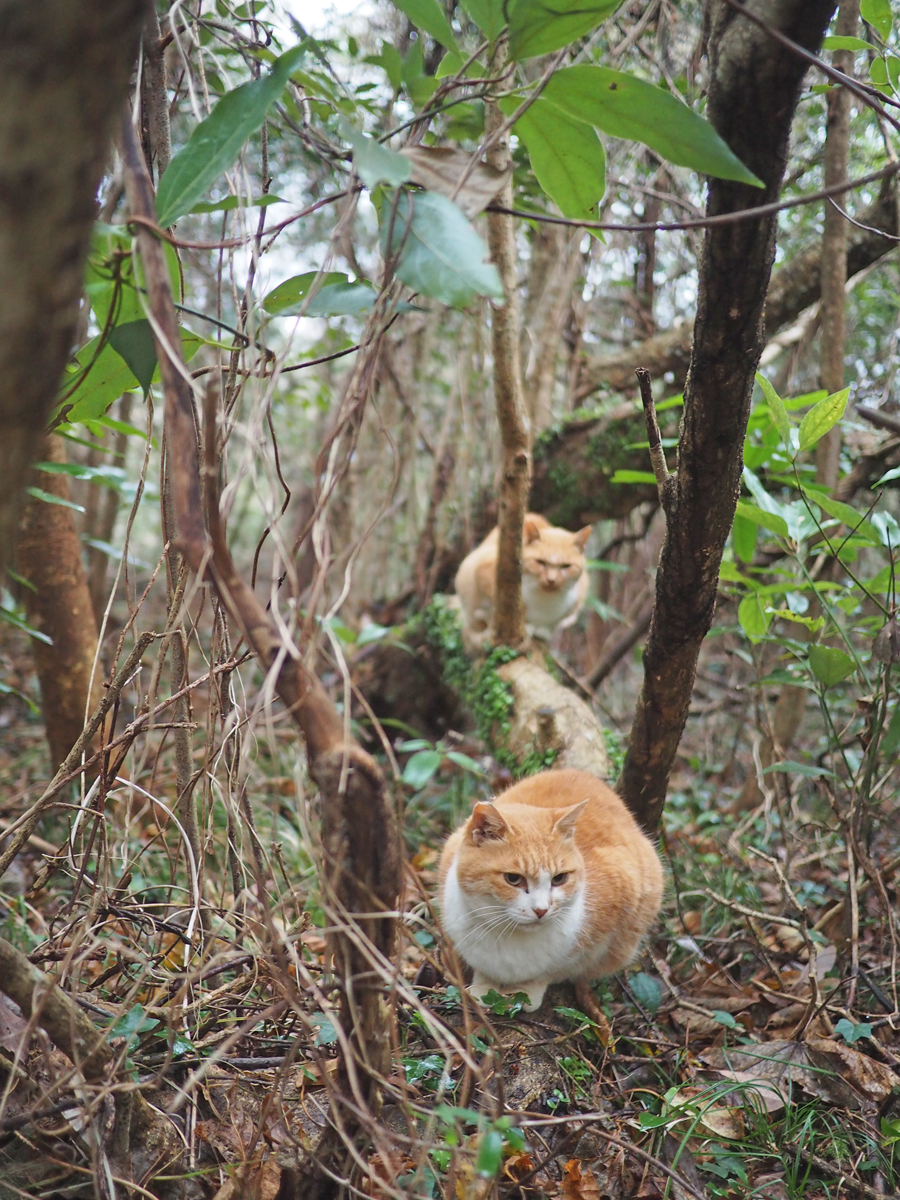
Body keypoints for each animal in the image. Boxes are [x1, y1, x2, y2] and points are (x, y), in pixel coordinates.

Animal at [441, 768, 667, 1012]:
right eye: (513, 879)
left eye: (559, 879)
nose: (541, 910)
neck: (510, 936)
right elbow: (483, 970)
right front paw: (484, 987)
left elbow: (552, 971)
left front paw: (526, 993)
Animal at [453, 513, 595, 648]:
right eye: (540, 562)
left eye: (566, 566)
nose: (551, 580)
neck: (545, 602)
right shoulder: (484, 567)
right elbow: (513, 607)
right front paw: (526, 625)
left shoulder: (579, 595)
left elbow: (553, 624)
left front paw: (544, 630)